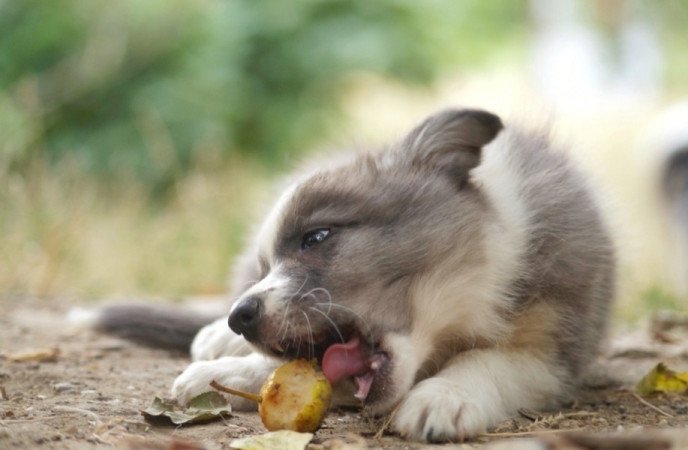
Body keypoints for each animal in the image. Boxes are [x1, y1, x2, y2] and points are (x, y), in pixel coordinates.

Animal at [103, 110, 612, 442]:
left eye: (316, 236)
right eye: (266, 268)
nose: (239, 317)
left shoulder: (555, 349)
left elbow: (490, 360)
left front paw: (443, 396)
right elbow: (289, 368)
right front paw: (220, 373)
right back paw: (215, 339)